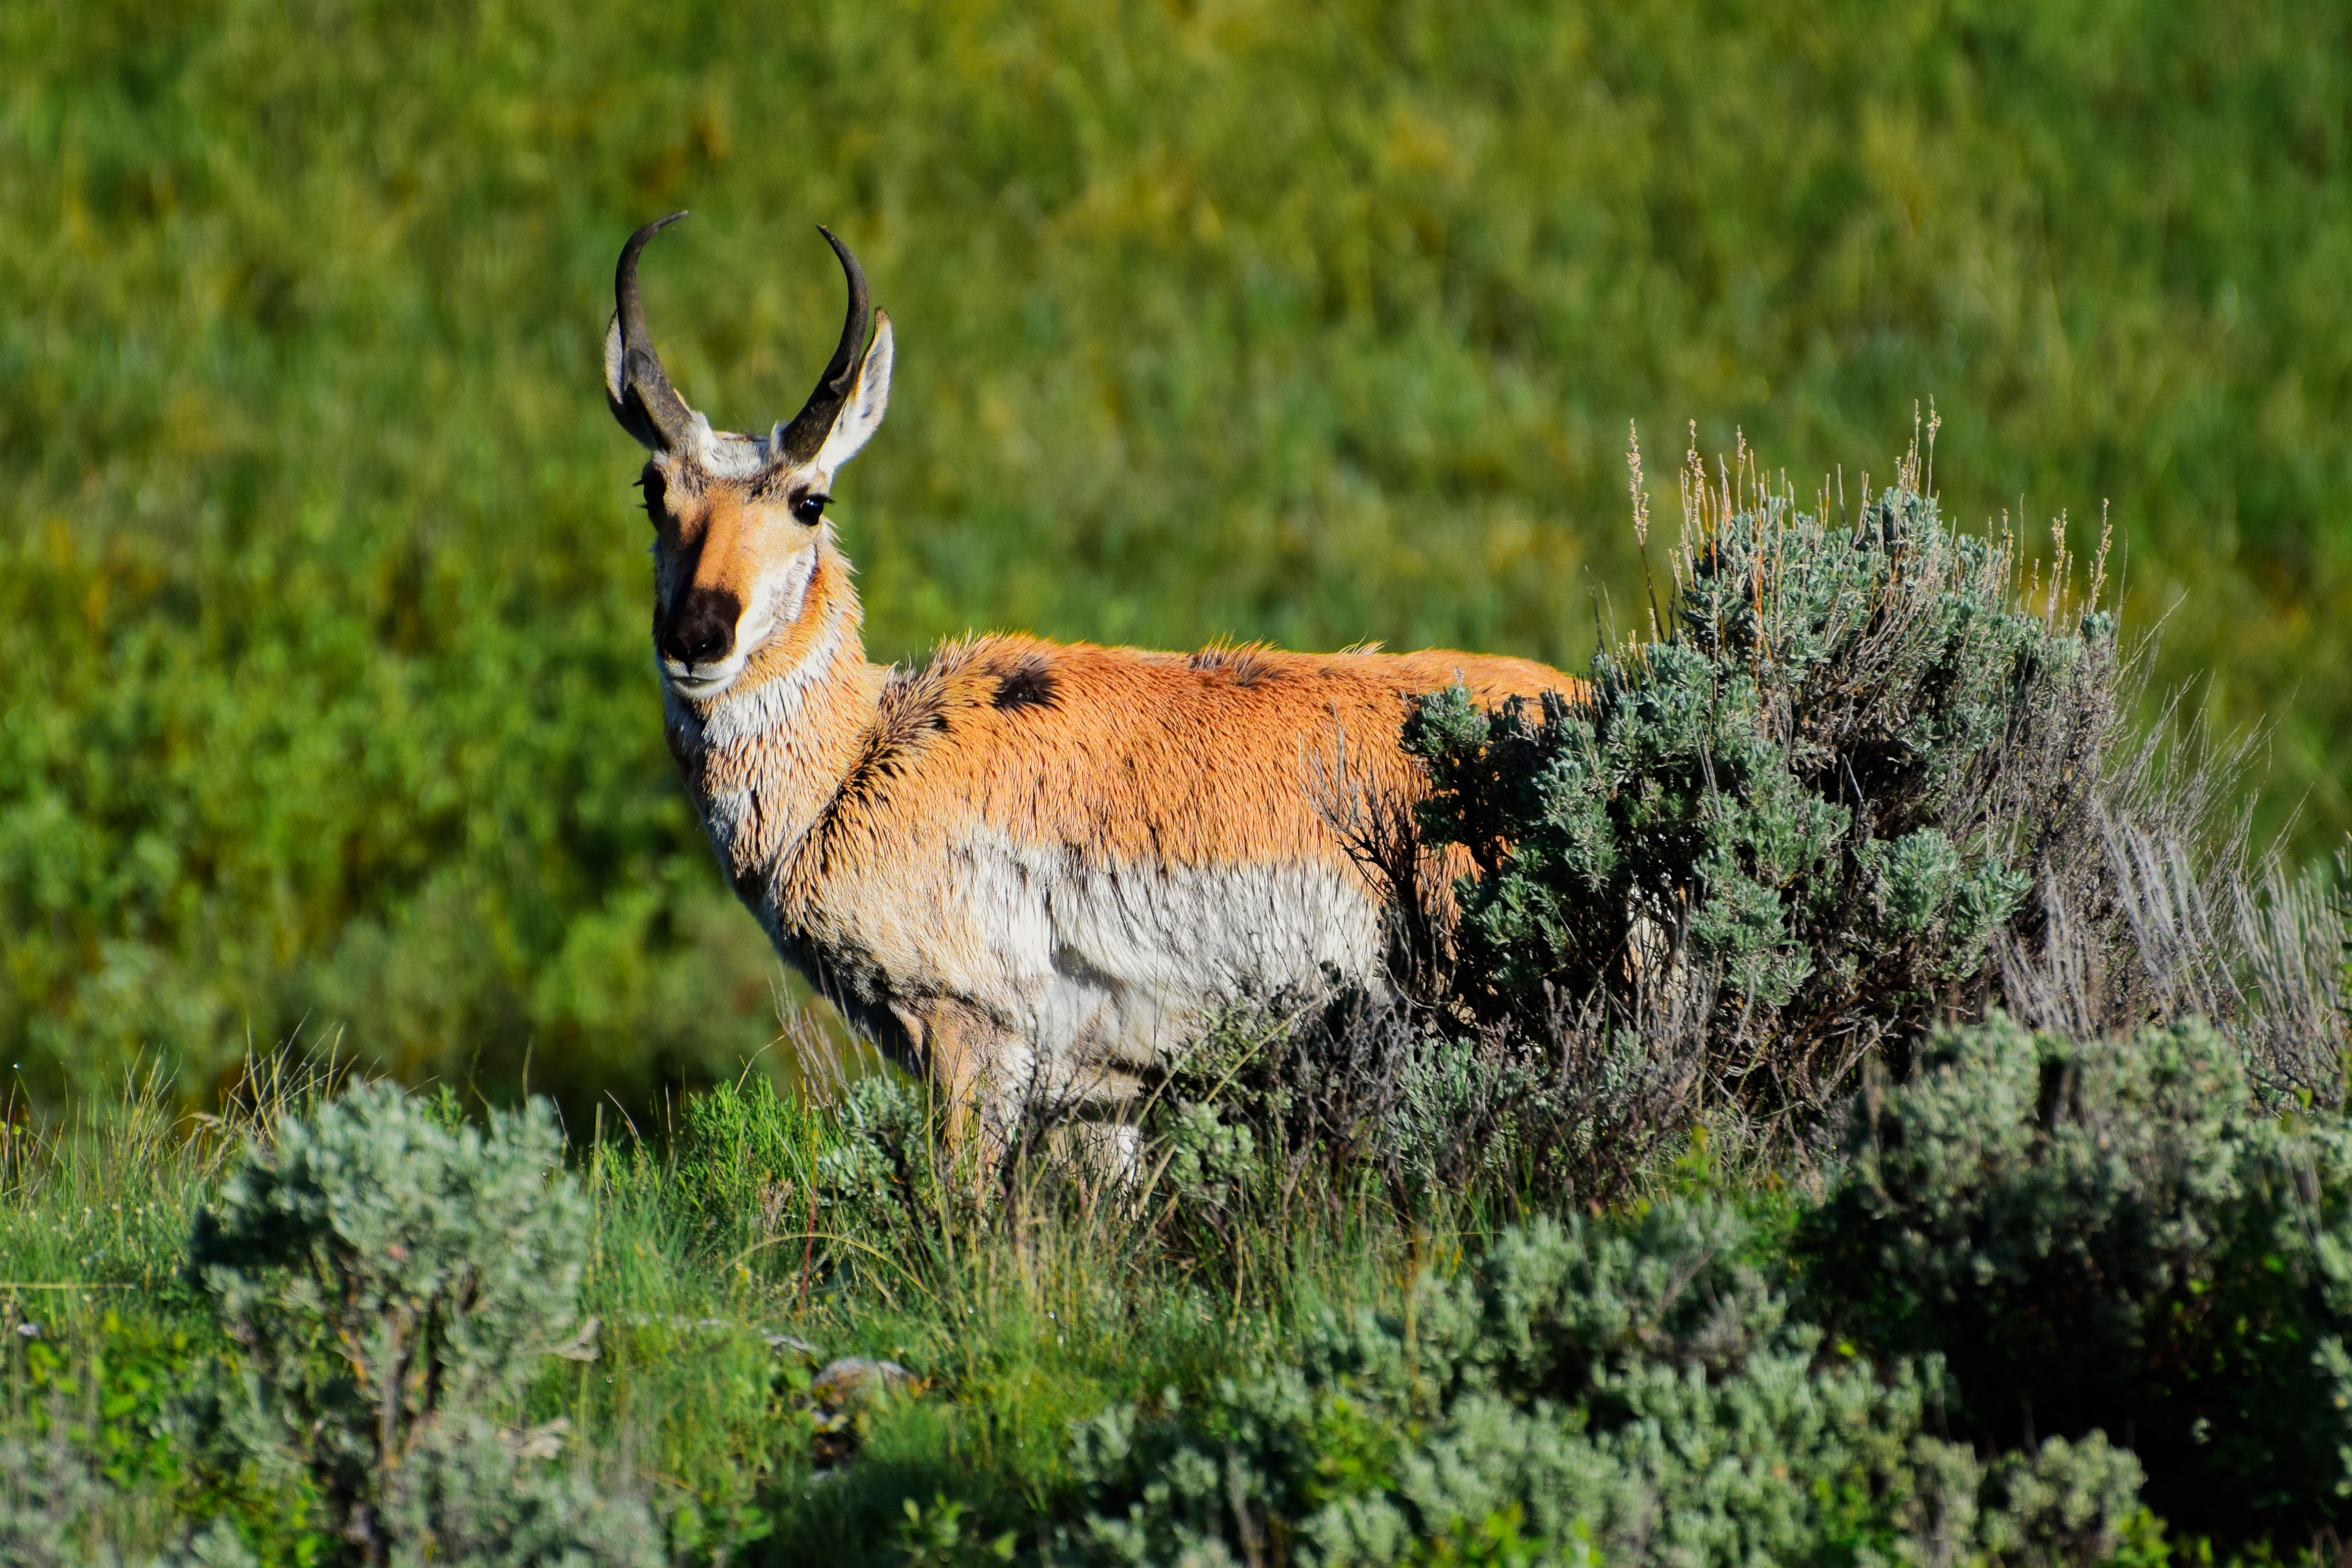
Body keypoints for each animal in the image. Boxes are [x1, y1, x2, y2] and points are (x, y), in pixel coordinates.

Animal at [606, 215, 1580, 1161]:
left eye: (809, 500)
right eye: (652, 488)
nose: (696, 638)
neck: (865, 752)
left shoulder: (973, 1040)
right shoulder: (1099, 1100)